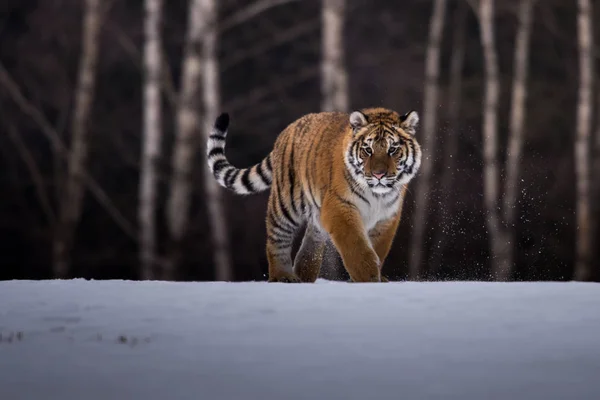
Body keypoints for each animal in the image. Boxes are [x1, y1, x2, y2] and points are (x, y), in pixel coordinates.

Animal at [206, 108, 422, 282]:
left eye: (393, 149)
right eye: (367, 150)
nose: (378, 175)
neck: (377, 195)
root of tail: (288, 128)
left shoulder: (387, 216)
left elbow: (378, 248)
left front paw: (376, 277)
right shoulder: (340, 206)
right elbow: (357, 247)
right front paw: (367, 277)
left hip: (315, 218)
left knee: (309, 248)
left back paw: (303, 277)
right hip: (285, 204)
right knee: (276, 240)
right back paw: (283, 276)